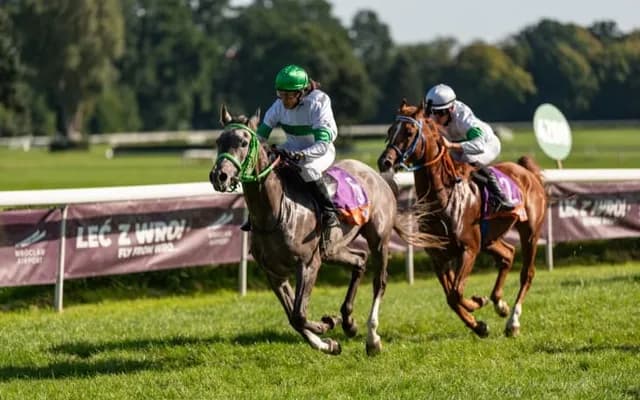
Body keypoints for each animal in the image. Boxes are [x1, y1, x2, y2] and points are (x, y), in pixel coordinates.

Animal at [209, 104, 439, 355]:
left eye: (243, 142)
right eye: (219, 141)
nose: (219, 176)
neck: (274, 212)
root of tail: (377, 175)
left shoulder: (308, 263)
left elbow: (299, 315)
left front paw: (327, 324)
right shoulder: (274, 272)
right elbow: (293, 317)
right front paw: (329, 342)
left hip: (378, 239)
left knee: (380, 282)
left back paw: (372, 338)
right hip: (332, 249)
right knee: (359, 259)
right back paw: (349, 322)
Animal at [378, 99, 547, 337]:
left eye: (409, 132)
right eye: (390, 131)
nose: (384, 161)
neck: (443, 196)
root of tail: (526, 170)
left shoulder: (469, 248)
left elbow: (457, 292)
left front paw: (477, 302)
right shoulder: (438, 256)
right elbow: (451, 297)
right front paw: (479, 325)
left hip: (530, 231)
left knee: (527, 274)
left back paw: (513, 321)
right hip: (489, 238)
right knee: (507, 255)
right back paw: (500, 304)